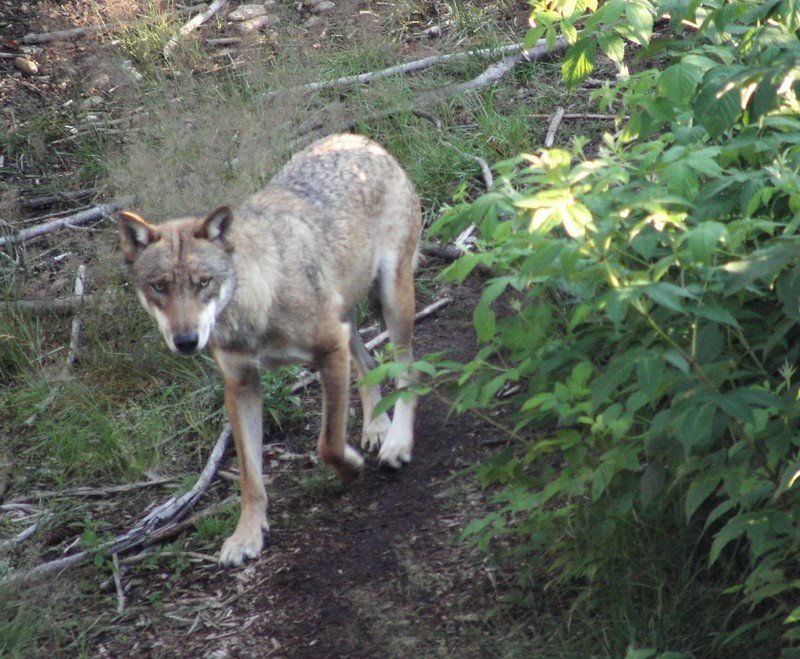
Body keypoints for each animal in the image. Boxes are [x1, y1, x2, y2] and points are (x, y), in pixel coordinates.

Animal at [118, 133, 422, 567]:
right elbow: (250, 477)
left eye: (203, 282)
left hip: (393, 305)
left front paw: (350, 468)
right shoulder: (241, 384)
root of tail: (359, 139)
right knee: (368, 364)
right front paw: (246, 536)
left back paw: (397, 442)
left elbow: (328, 444)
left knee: (408, 370)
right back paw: (376, 427)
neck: (256, 306)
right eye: (160, 287)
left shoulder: (329, 351)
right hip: (349, 318)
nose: (186, 341)